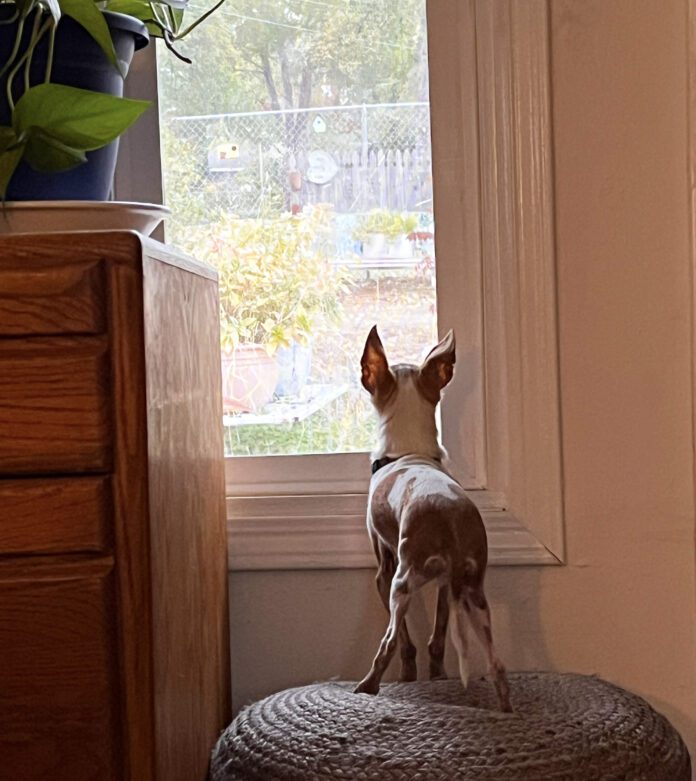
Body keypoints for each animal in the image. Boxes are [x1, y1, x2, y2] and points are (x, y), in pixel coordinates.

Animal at [354, 326, 512, 708]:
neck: (408, 451)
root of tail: (449, 521)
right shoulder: (443, 586)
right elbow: (437, 638)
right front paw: (437, 677)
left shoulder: (384, 571)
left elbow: (406, 641)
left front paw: (410, 678)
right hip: (473, 594)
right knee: (497, 665)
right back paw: (505, 709)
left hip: (402, 581)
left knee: (388, 642)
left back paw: (367, 687)